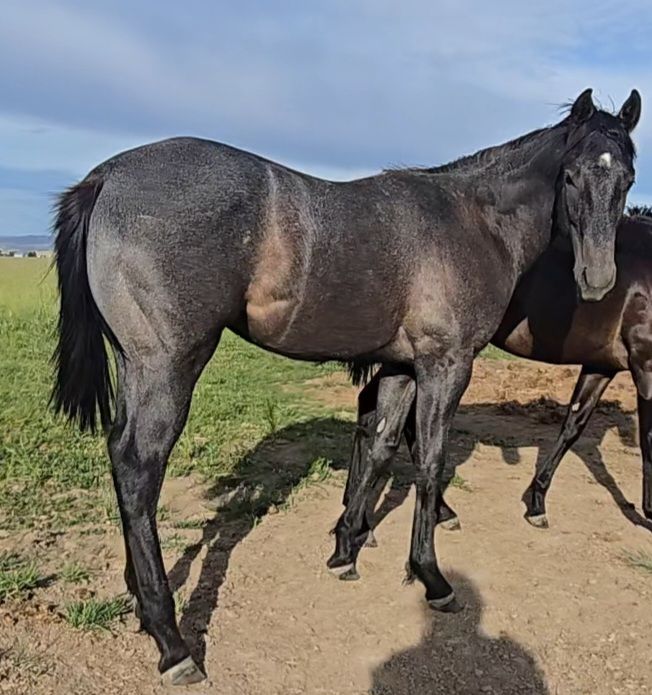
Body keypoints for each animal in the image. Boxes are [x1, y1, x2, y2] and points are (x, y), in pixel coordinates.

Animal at [344, 206, 652, 548]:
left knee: (374, 408)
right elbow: (648, 442)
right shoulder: (645, 365)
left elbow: (573, 426)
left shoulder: (600, 366)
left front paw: (536, 503)